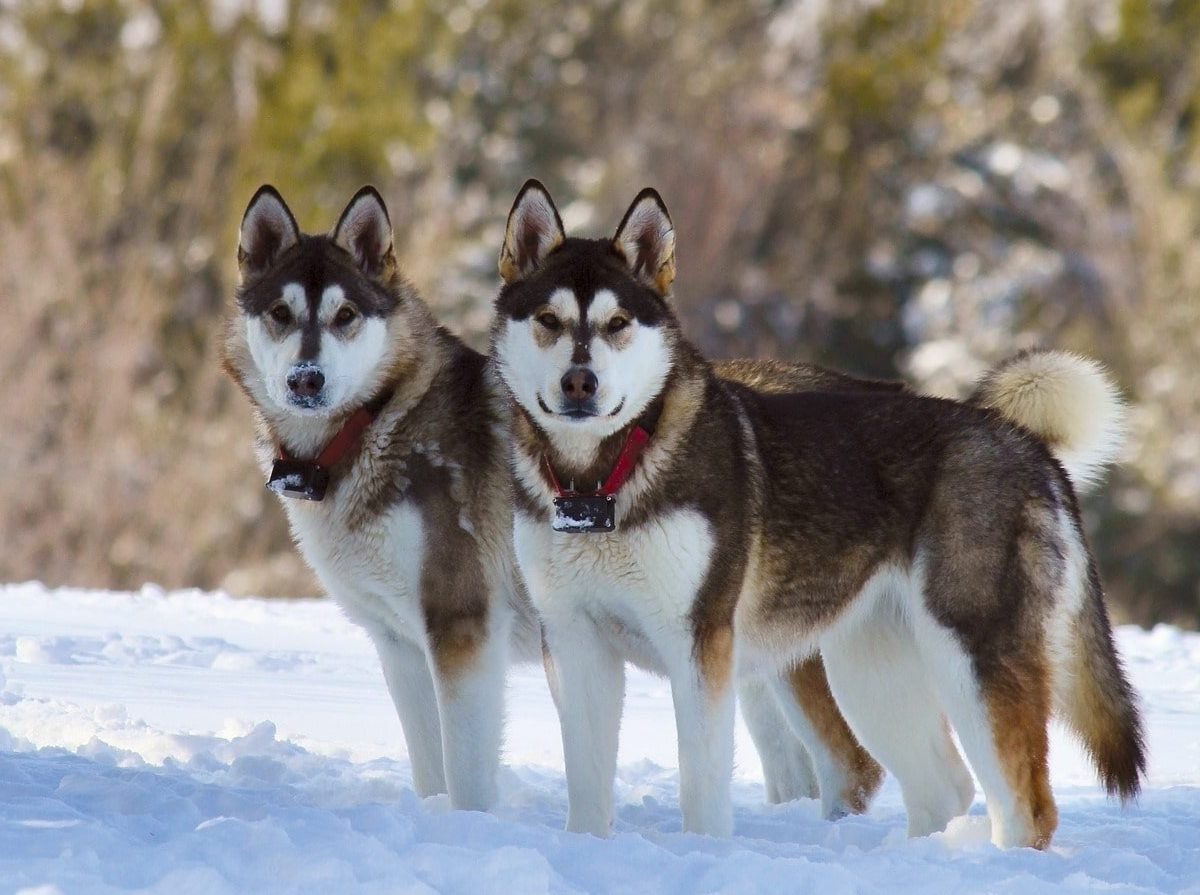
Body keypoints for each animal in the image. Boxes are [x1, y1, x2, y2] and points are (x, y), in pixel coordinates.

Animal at [224, 183, 540, 811]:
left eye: (345, 315)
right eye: (280, 314)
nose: (306, 378)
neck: (371, 425)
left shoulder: (462, 627)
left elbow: (465, 778)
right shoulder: (400, 646)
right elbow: (430, 769)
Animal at [487, 179, 1142, 844]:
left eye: (617, 322)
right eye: (549, 321)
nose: (579, 383)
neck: (603, 480)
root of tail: (1023, 441)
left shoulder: (698, 644)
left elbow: (702, 787)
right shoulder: (574, 641)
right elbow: (587, 787)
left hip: (970, 657)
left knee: (1024, 806)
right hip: (870, 669)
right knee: (942, 787)